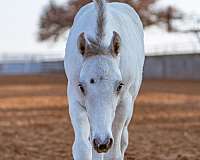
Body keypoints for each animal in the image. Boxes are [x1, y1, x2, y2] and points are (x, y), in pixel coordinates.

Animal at [65, 0, 145, 159]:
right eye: (81, 86)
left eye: (120, 86)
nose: (102, 142)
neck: (99, 43)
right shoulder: (75, 100)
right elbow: (82, 147)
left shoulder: (124, 104)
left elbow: (114, 153)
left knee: (122, 141)